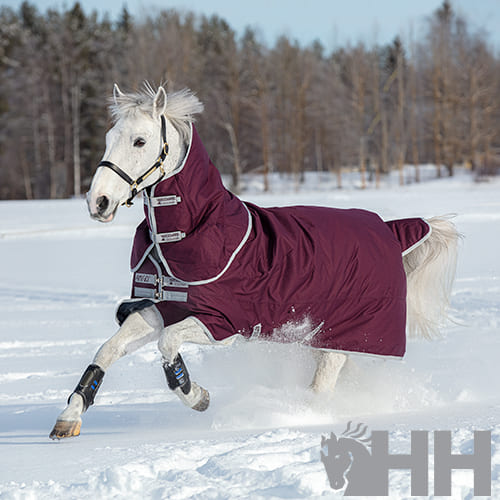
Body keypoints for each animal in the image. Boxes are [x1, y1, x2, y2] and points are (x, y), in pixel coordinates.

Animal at [48, 84, 458, 440]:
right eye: (108, 137)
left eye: (140, 141)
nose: (98, 202)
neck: (191, 232)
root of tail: (388, 230)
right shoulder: (160, 308)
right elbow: (108, 350)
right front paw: (68, 418)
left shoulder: (223, 323)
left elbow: (167, 344)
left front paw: (197, 395)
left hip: (343, 337)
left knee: (321, 389)